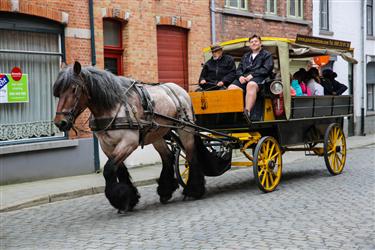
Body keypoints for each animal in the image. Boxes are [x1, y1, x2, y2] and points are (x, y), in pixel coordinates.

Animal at [53, 61, 206, 212]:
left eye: (74, 89)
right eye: (58, 92)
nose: (60, 122)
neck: (113, 107)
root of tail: (181, 90)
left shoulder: (129, 143)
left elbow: (108, 169)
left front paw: (119, 199)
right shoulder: (106, 146)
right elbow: (119, 169)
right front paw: (128, 199)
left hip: (186, 129)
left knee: (191, 155)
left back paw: (193, 190)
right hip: (158, 133)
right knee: (168, 157)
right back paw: (165, 191)